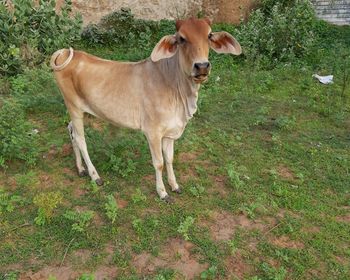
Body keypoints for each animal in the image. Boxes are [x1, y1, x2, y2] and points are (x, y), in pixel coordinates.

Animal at [50, 17, 241, 201]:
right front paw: (162, 193)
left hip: (85, 109)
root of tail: (65, 52)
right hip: (73, 106)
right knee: (81, 139)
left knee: (71, 130)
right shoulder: (153, 132)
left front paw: (175, 185)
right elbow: (159, 162)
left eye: (209, 35)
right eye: (181, 38)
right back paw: (95, 175)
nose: (202, 66)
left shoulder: (170, 132)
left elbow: (169, 159)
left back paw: (81, 169)